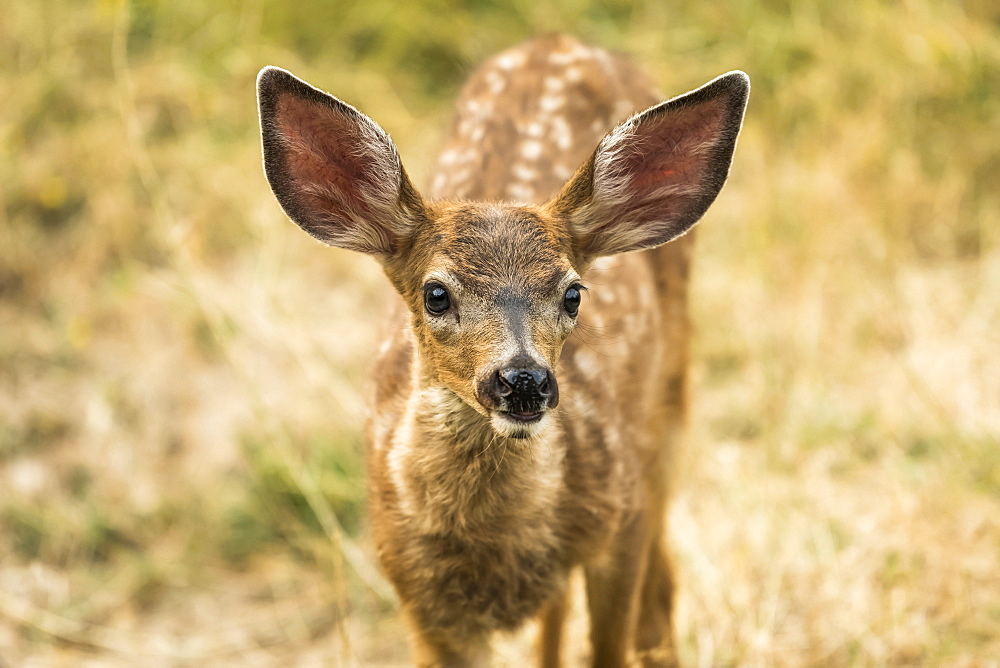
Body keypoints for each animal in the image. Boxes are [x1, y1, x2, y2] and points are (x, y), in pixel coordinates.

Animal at [254, 35, 748, 668]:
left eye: (573, 293)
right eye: (435, 293)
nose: (523, 380)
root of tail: (557, 38)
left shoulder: (622, 518)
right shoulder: (414, 585)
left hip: (667, 406)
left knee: (659, 589)